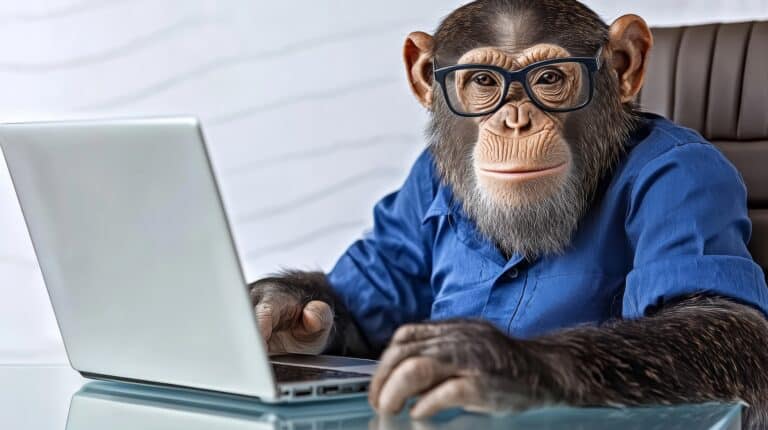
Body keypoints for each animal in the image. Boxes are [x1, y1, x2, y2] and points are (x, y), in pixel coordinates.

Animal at [249, 0, 768, 427]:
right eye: (483, 80)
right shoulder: (420, 181)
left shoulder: (688, 172)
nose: (515, 121)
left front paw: (490, 360)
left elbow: (722, 317)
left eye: (549, 78)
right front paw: (278, 307)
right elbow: (360, 304)